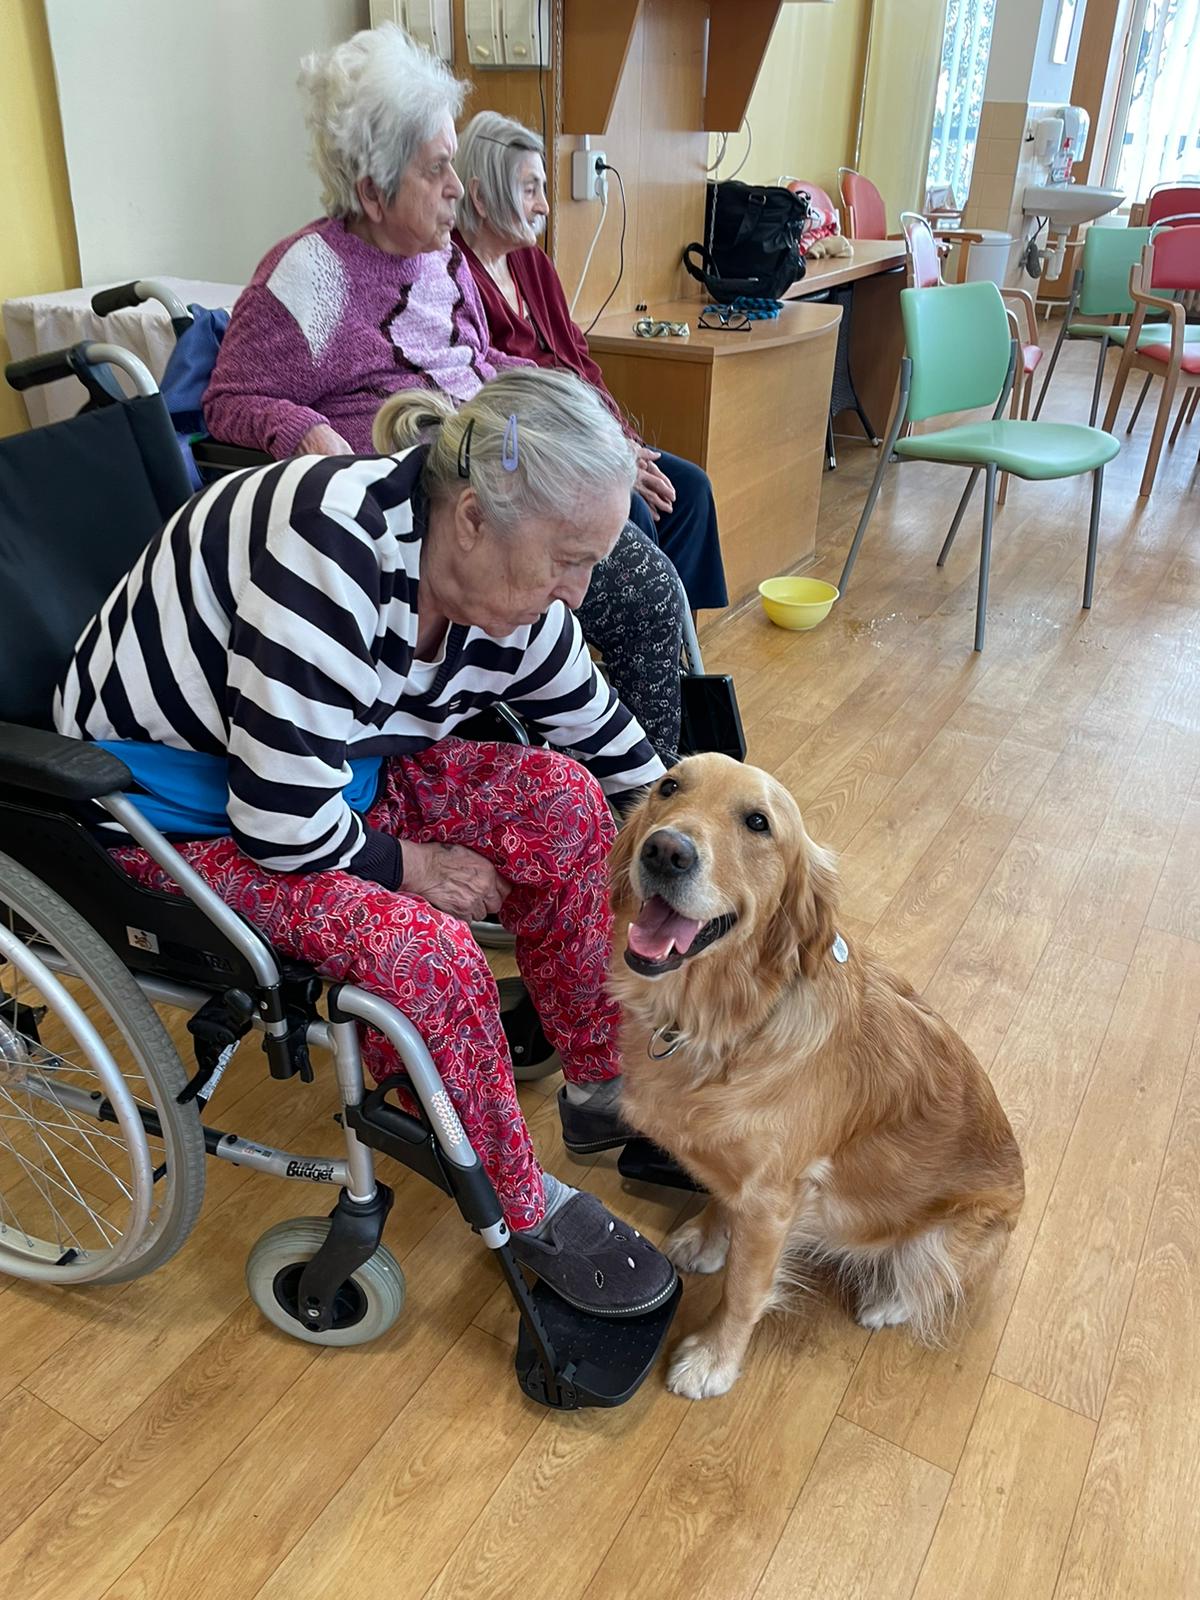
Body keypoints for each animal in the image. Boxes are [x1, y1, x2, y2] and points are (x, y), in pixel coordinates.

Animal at [609, 754, 1024, 1401]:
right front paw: (707, 1237)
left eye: (758, 822)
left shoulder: (773, 1199)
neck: (725, 1022)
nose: (664, 851)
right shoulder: (740, 1175)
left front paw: (713, 1360)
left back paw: (889, 1301)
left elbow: (744, 1291)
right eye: (668, 788)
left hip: (952, 1231)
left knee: (933, 1279)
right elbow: (719, 1197)